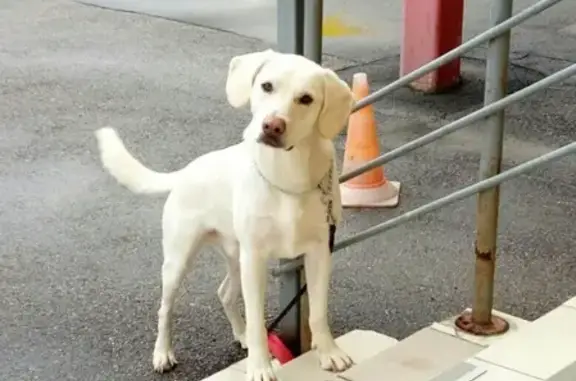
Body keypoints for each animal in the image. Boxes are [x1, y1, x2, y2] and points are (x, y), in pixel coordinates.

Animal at [94, 49, 356, 378]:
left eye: (306, 98)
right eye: (267, 86)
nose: (272, 126)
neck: (286, 176)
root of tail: (184, 173)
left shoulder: (319, 252)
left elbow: (319, 312)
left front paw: (329, 352)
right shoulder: (255, 258)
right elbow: (257, 321)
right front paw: (259, 367)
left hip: (235, 256)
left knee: (225, 294)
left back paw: (240, 335)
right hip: (180, 261)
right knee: (166, 309)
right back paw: (163, 353)